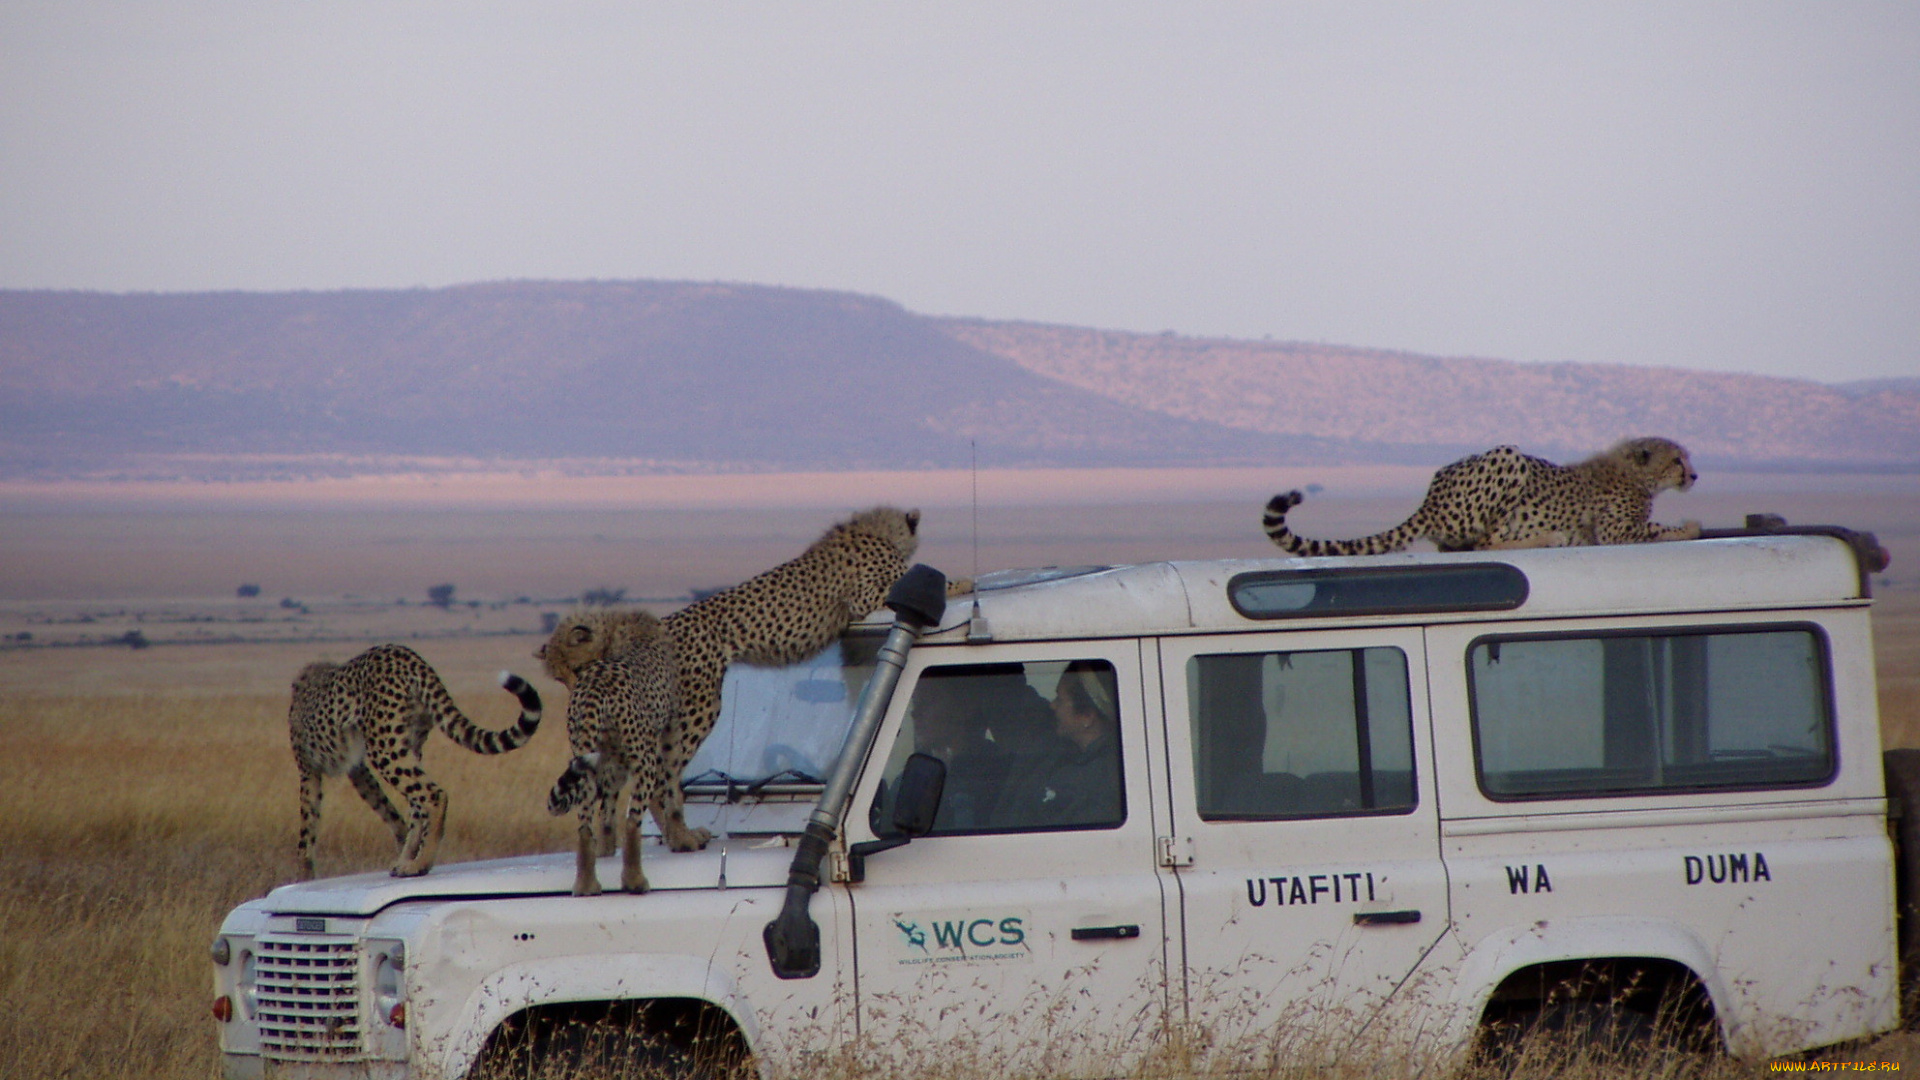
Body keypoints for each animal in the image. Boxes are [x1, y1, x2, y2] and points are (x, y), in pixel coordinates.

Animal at [293, 638, 549, 876]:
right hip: (408, 743)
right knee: (417, 804)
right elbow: (383, 807)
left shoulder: (309, 769)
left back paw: (420, 864)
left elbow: (307, 824)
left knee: (433, 794)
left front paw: (304, 877)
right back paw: (406, 861)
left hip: (384, 747)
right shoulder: (356, 769)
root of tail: (409, 656)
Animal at [533, 507, 921, 891]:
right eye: (561, 676)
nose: (573, 688)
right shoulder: (870, 597)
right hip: (698, 710)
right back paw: (678, 841)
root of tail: (663, 624)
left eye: (574, 669)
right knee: (661, 779)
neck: (875, 528)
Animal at [1267, 438, 1704, 553]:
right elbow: (1657, 529)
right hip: (1509, 456)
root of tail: (1430, 497)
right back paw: (1548, 537)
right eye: (1677, 460)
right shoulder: (1615, 532)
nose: (1695, 474)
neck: (1635, 471)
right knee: (1483, 543)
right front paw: (1690, 526)